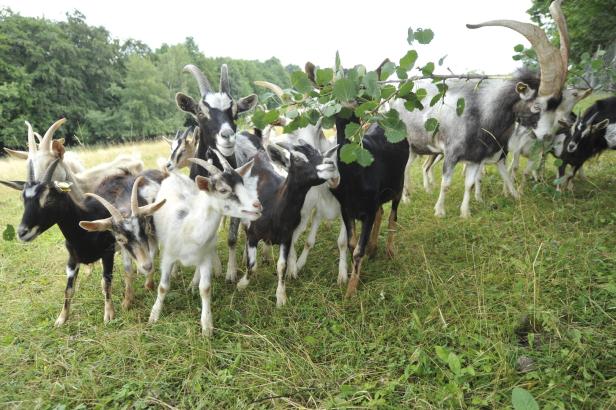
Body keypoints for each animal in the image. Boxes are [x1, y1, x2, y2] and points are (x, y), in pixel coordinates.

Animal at [0, 160, 165, 324]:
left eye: (49, 198)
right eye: (23, 199)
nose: (22, 232)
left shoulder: (107, 253)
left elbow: (106, 282)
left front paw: (109, 314)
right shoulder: (72, 259)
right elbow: (68, 289)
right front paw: (61, 318)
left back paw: (148, 283)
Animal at [148, 154, 262, 336]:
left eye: (243, 184)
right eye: (223, 190)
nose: (257, 206)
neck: (189, 226)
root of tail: (174, 175)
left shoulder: (205, 258)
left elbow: (206, 288)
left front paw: (207, 326)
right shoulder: (168, 256)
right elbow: (163, 287)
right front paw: (154, 315)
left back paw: (192, 284)